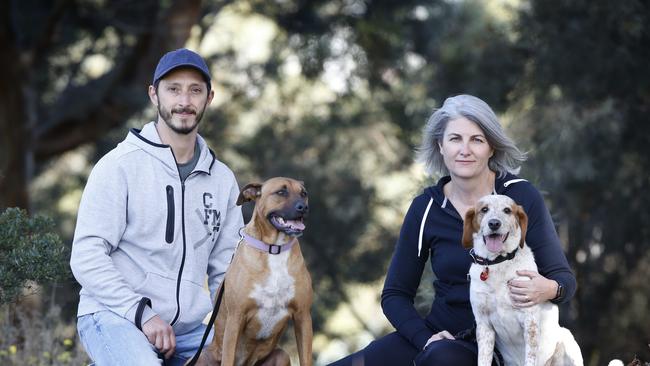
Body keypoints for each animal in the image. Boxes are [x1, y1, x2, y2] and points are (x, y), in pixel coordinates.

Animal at [191, 177, 312, 366]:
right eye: (281, 192)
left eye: (304, 193)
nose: (303, 207)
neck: (274, 249)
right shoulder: (236, 317)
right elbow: (228, 357)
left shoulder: (303, 316)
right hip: (203, 358)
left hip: (281, 356)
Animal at [460, 196, 584, 366]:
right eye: (484, 209)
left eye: (507, 210)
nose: (494, 223)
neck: (498, 263)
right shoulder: (484, 325)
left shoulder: (529, 323)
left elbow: (530, 357)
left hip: (567, 339)